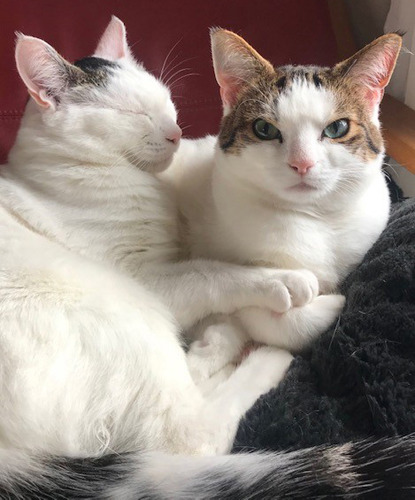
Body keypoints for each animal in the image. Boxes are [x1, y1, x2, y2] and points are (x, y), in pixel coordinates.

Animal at [1, 16, 414, 500]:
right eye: (131, 114)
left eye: (167, 104)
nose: (175, 134)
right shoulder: (150, 277)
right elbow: (213, 274)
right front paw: (286, 285)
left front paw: (220, 334)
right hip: (122, 306)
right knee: (187, 435)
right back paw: (265, 357)